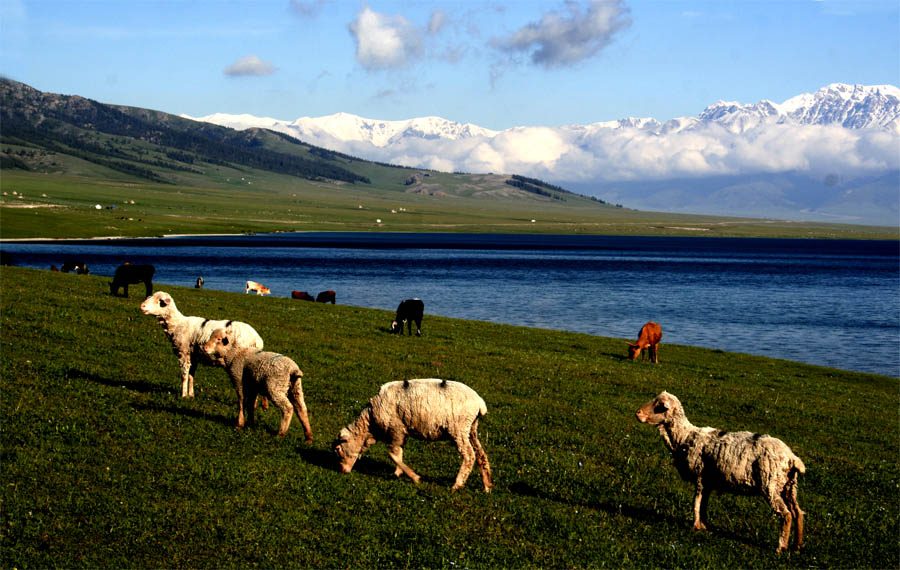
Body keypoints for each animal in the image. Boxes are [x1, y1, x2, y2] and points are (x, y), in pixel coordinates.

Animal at [336, 374, 496, 490]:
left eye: (338, 449)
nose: (342, 471)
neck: (370, 424)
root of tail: (479, 403)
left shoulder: (396, 429)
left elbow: (393, 454)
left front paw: (414, 477)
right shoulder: (401, 432)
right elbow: (399, 453)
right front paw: (397, 473)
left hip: (458, 429)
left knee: (469, 456)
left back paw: (457, 484)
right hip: (471, 429)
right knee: (481, 455)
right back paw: (487, 485)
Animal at [636, 390, 804, 552]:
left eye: (659, 405)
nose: (637, 413)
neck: (685, 437)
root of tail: (792, 458)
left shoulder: (700, 476)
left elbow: (696, 502)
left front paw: (696, 526)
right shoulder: (708, 481)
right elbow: (703, 503)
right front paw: (703, 525)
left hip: (771, 484)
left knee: (786, 514)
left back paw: (781, 547)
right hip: (789, 486)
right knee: (797, 512)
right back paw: (797, 545)